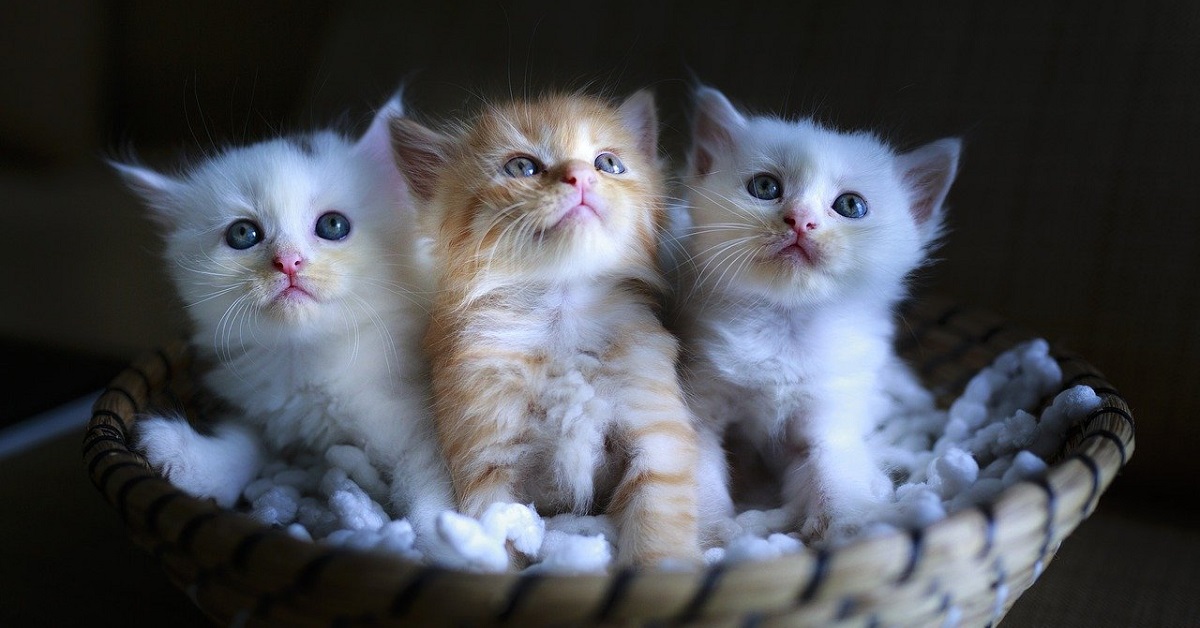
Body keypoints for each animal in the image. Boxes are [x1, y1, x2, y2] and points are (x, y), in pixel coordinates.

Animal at [111, 92, 453, 540]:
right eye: (243, 234)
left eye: (333, 225)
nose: (288, 262)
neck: (307, 361)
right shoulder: (263, 413)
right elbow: (246, 446)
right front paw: (192, 460)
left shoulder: (418, 428)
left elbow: (429, 488)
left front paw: (445, 538)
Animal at [391, 90, 700, 566]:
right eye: (522, 167)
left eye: (608, 163)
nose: (580, 176)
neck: (563, 317)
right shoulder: (488, 462)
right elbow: (498, 539)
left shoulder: (656, 436)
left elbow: (658, 527)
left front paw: (656, 573)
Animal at [672, 85, 960, 542]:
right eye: (765, 186)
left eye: (851, 206)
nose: (800, 220)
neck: (783, 326)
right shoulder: (700, 401)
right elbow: (701, 469)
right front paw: (713, 534)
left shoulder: (831, 412)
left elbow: (834, 468)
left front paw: (850, 525)